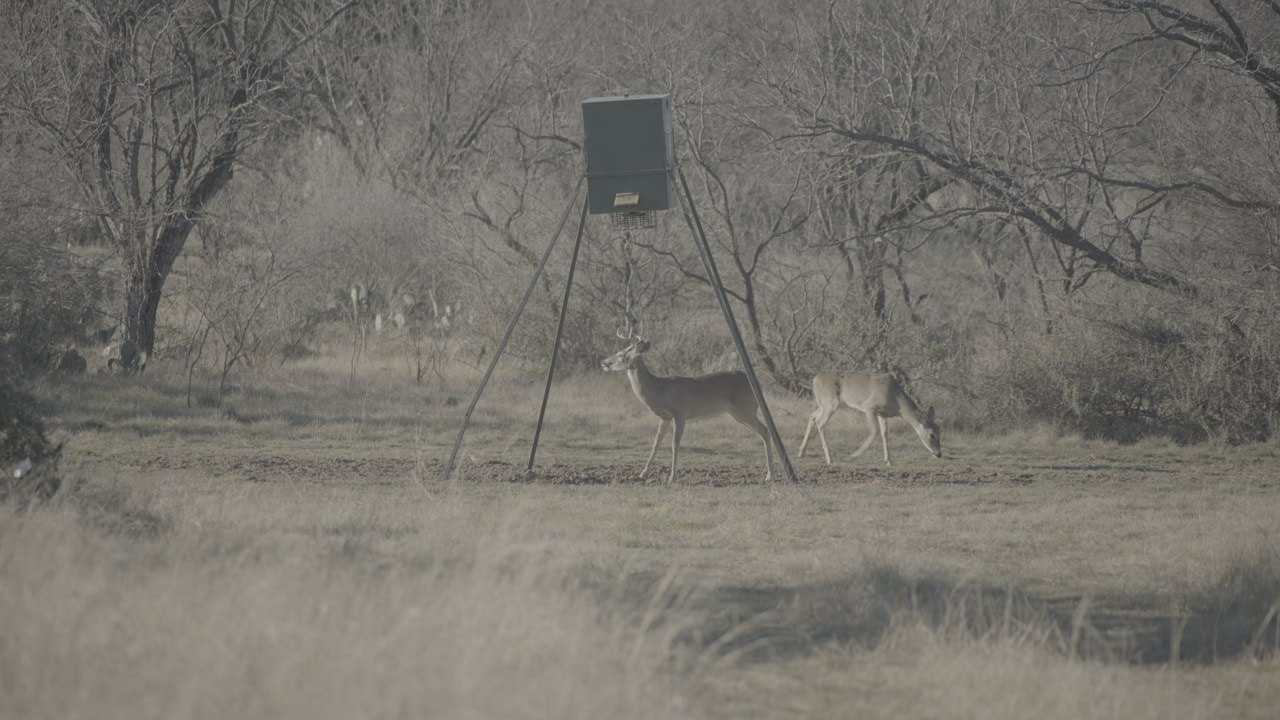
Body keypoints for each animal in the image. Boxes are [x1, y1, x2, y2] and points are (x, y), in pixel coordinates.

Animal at [600, 336, 775, 484]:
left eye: (621, 354)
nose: (604, 362)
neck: (659, 390)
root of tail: (756, 383)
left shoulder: (680, 414)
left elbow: (674, 444)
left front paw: (672, 478)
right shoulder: (665, 417)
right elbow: (656, 443)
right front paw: (643, 474)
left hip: (746, 410)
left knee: (765, 430)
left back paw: (770, 476)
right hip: (737, 414)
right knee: (763, 432)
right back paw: (769, 474)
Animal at [798, 372, 942, 466]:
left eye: (940, 432)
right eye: (932, 435)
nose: (939, 454)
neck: (895, 398)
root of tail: (815, 379)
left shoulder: (882, 414)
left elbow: (884, 433)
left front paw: (889, 461)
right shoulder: (869, 407)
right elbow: (875, 431)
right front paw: (854, 455)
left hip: (825, 405)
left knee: (812, 417)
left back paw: (801, 453)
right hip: (830, 404)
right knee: (820, 423)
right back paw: (829, 459)